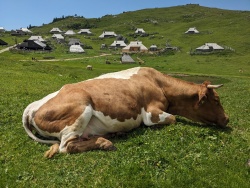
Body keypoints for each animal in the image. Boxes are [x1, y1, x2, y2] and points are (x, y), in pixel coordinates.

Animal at [22, 67, 229, 158]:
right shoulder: (151, 114)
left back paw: (112, 135)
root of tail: (32, 106)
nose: (227, 119)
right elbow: (173, 119)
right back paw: (104, 142)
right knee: (67, 146)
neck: (159, 82)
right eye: (216, 100)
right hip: (80, 111)